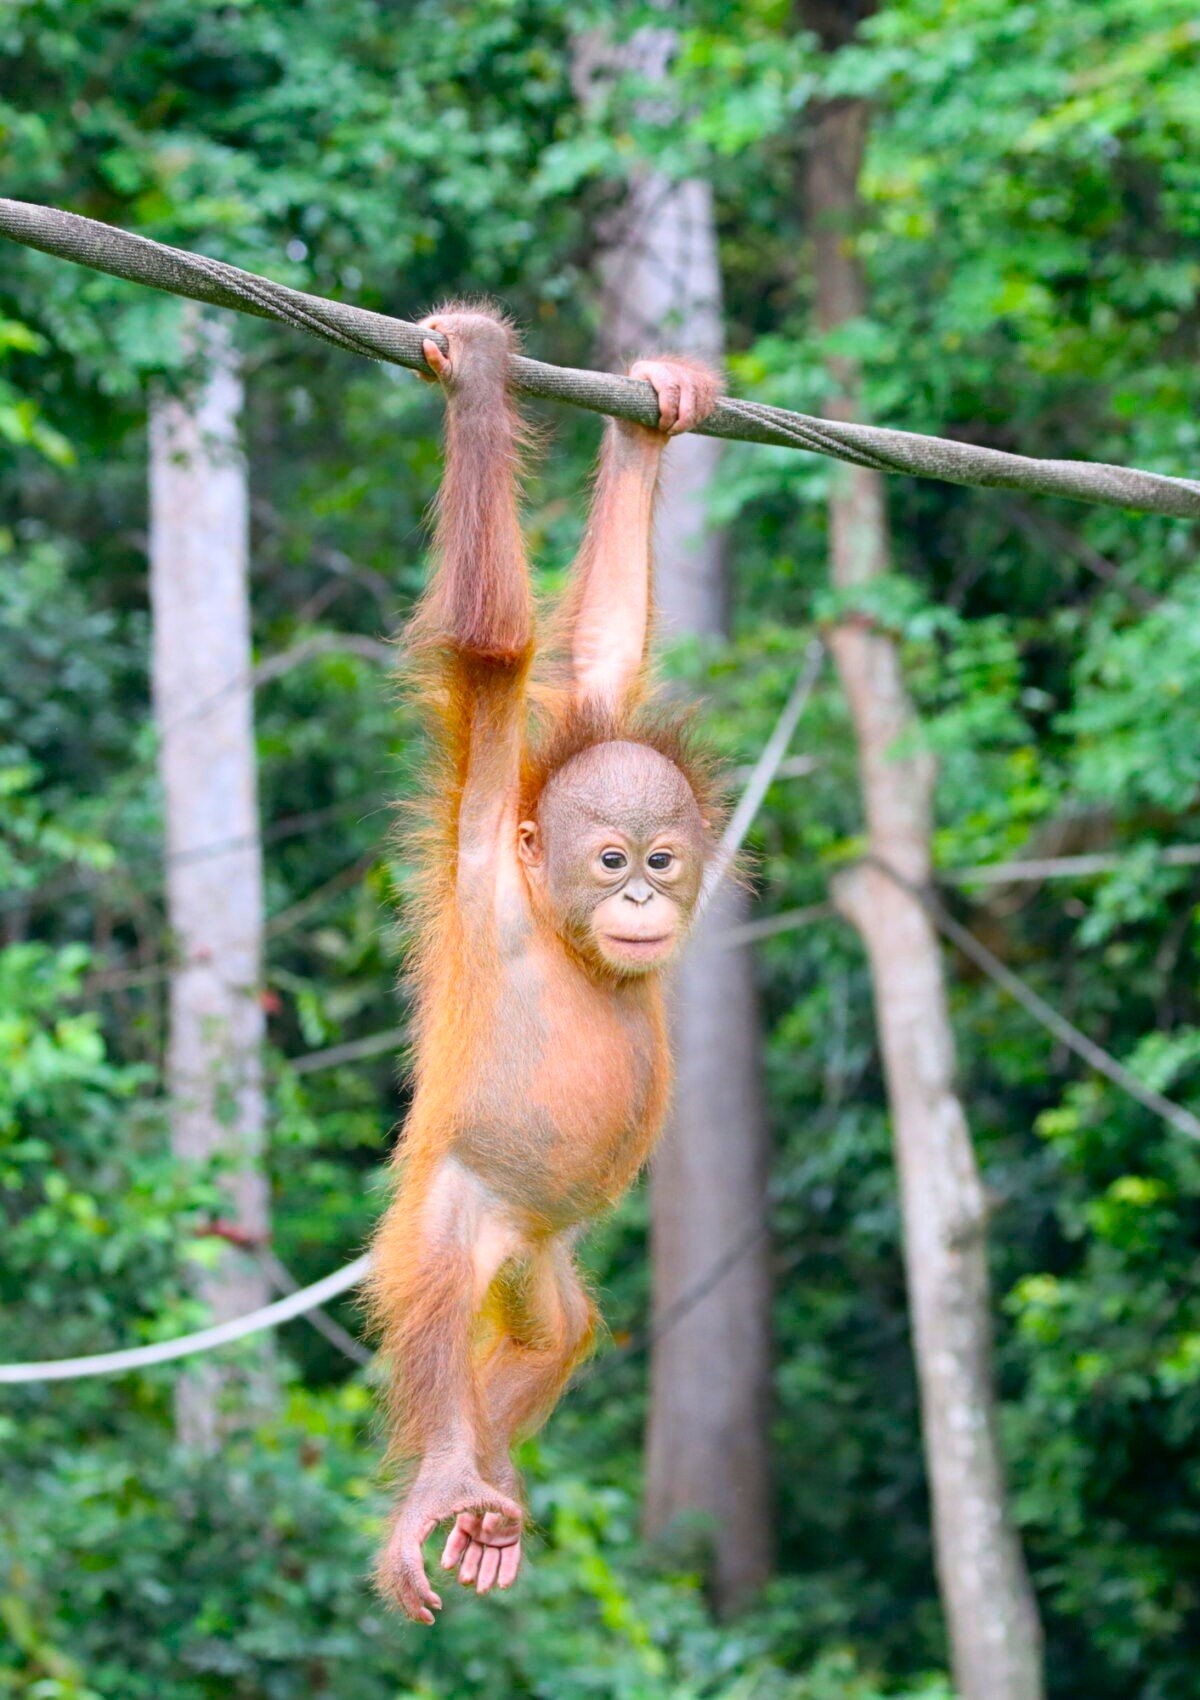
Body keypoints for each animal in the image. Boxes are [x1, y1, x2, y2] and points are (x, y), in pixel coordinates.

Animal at [368, 304, 722, 1624]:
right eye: (609, 856)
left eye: (663, 858)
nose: (640, 898)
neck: (566, 938)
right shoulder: (487, 853)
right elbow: (496, 648)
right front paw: (474, 368)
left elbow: (602, 657)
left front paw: (654, 411)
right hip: (450, 1208)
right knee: (431, 1300)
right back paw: (442, 1481)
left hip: (540, 1259)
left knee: (554, 1332)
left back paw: (490, 1495)